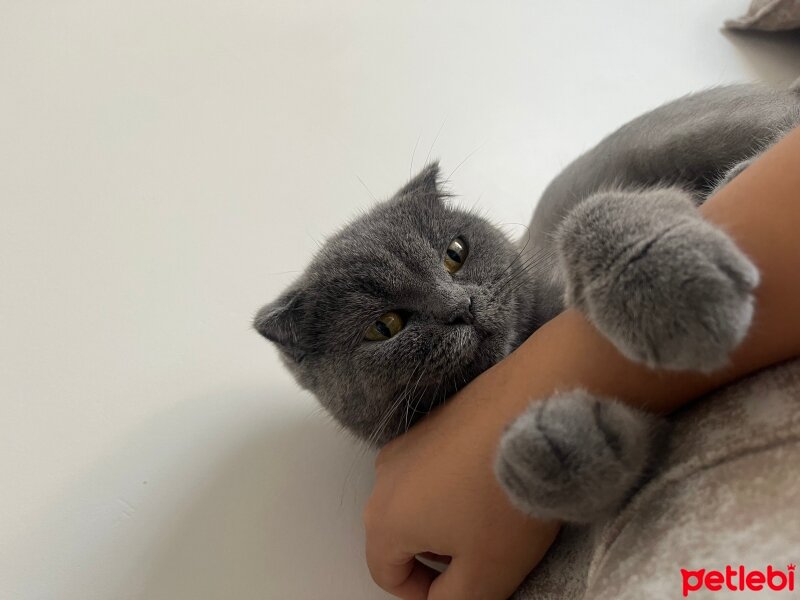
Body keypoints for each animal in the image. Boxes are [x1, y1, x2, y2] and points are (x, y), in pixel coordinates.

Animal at [255, 84, 800, 524]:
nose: (461, 305)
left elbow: (590, 214)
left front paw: (666, 286)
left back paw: (737, 175)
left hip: (692, 130)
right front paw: (558, 450)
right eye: (385, 326)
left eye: (455, 254)